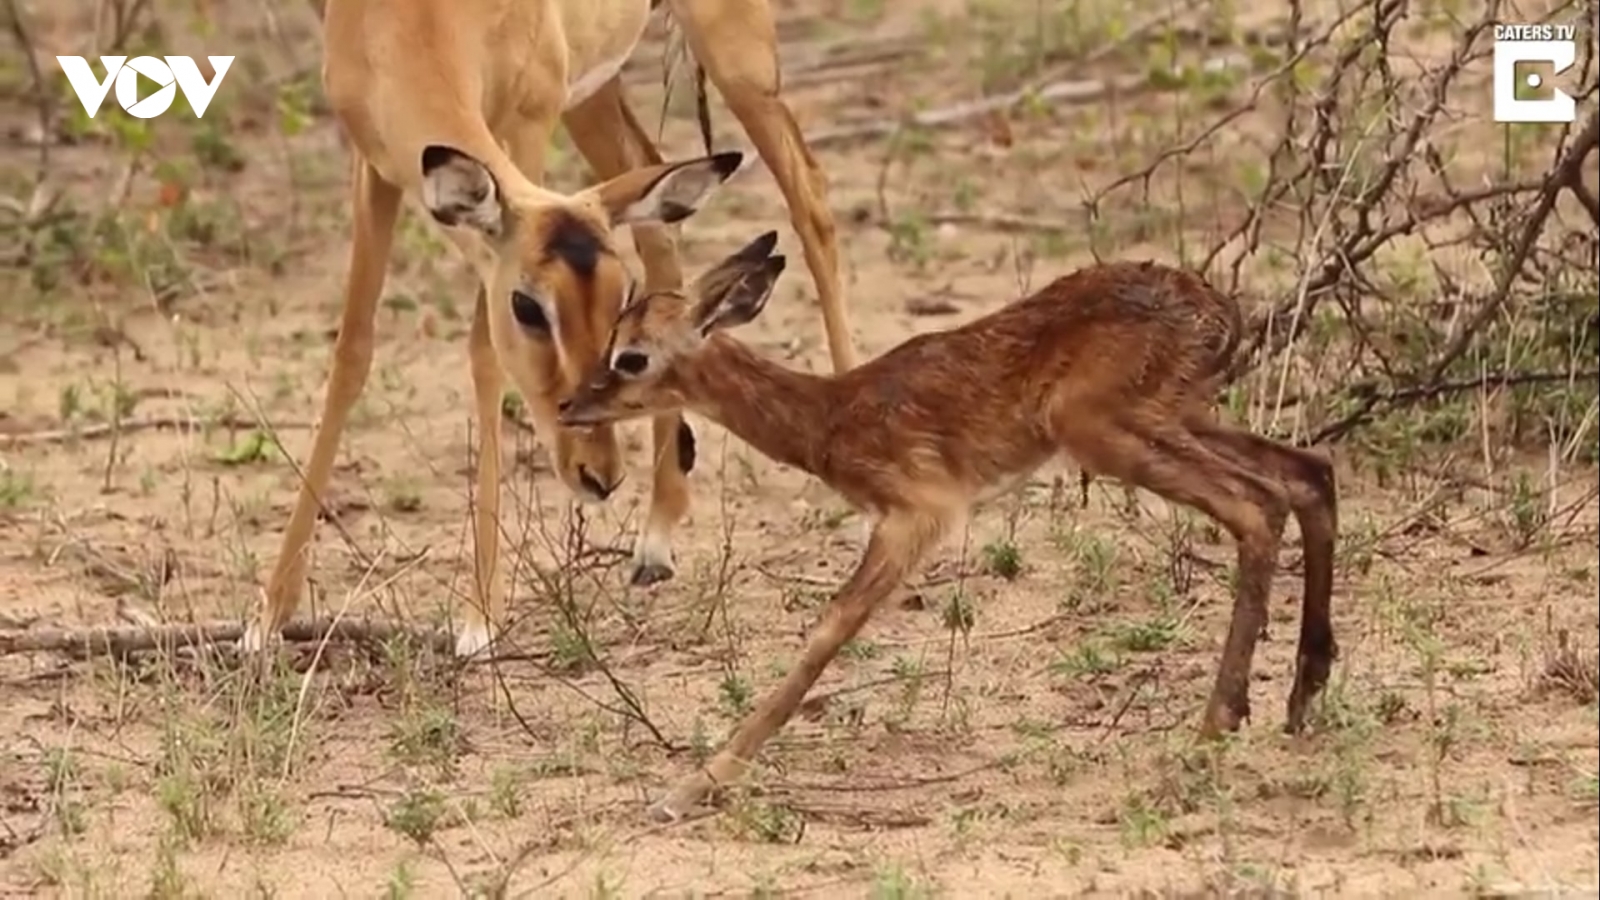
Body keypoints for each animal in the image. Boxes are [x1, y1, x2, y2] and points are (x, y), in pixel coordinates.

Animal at [249, 0, 863, 658]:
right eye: (528, 306)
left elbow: (482, 352)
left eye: (621, 298)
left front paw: (479, 617)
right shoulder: (377, 165)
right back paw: (655, 539)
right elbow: (353, 351)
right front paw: (269, 614)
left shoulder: (527, 124)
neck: (416, 20)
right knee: (657, 205)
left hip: (734, 56)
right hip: (597, 99)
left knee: (810, 196)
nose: (600, 475)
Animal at [558, 233, 1340, 820]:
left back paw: (1215, 726)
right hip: (1179, 420)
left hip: (1114, 433)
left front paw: (693, 785)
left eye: (630, 355)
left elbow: (827, 629)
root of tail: (1216, 310)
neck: (831, 415)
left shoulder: (918, 516)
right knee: (1308, 473)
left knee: (1257, 505)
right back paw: (1301, 695)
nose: (570, 405)